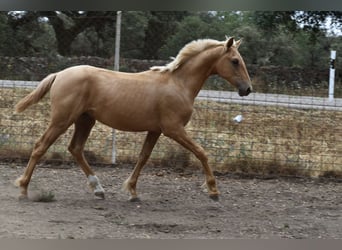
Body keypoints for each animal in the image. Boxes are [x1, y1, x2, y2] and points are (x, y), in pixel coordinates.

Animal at [14, 36, 251, 201]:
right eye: (235, 61)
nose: (247, 89)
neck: (179, 84)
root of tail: (59, 74)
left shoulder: (155, 130)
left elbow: (143, 157)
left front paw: (132, 191)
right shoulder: (173, 129)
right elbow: (202, 152)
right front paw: (213, 190)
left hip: (85, 120)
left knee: (75, 148)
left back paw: (99, 189)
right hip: (62, 119)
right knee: (40, 146)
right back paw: (23, 189)